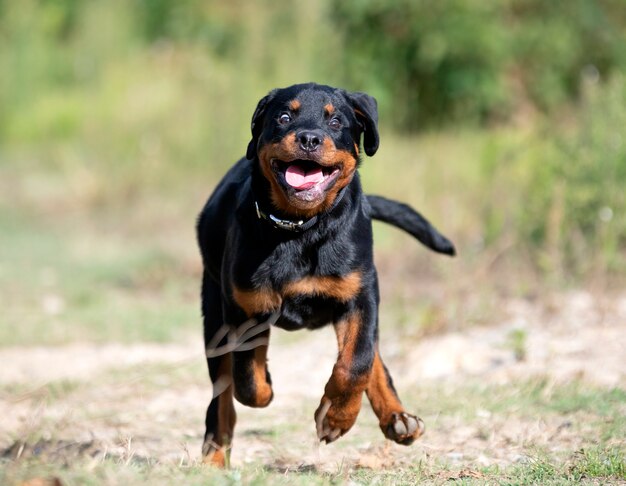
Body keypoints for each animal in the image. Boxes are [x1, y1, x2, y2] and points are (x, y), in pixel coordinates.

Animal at [196, 83, 454, 468]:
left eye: (335, 121)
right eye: (283, 117)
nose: (309, 138)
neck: (301, 228)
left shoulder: (361, 294)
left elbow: (356, 362)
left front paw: (334, 417)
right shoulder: (242, 307)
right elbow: (248, 381)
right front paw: (266, 382)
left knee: (369, 353)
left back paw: (398, 417)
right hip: (213, 314)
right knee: (222, 394)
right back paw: (213, 456)